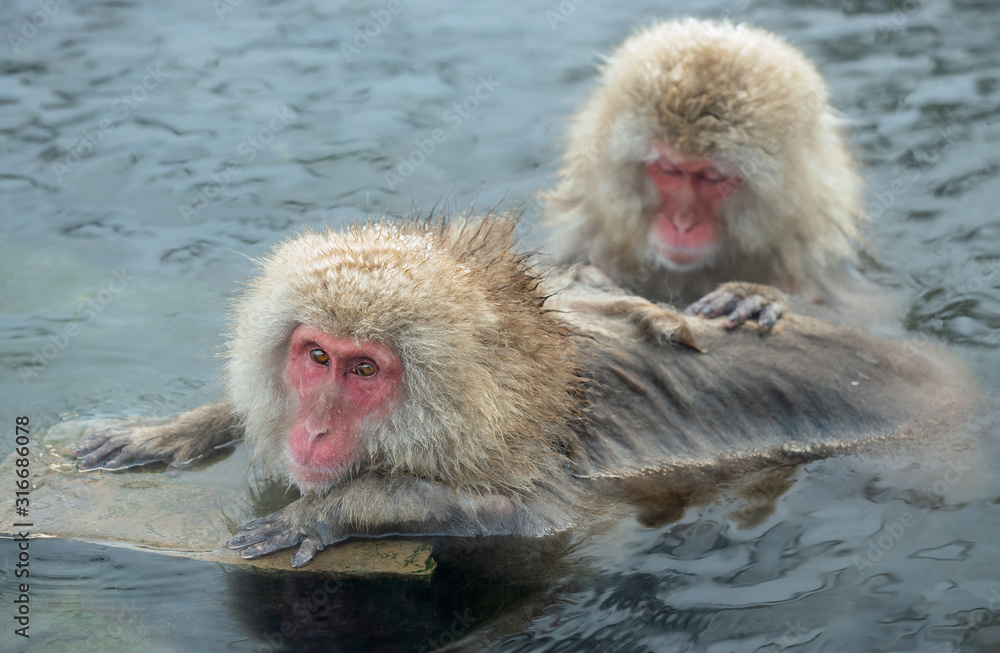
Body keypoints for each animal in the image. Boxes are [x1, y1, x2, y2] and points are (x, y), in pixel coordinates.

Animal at [72, 216, 967, 568]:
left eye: (364, 371)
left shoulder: (547, 450)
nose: (314, 432)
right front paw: (175, 427)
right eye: (316, 356)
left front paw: (335, 509)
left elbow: (536, 518)